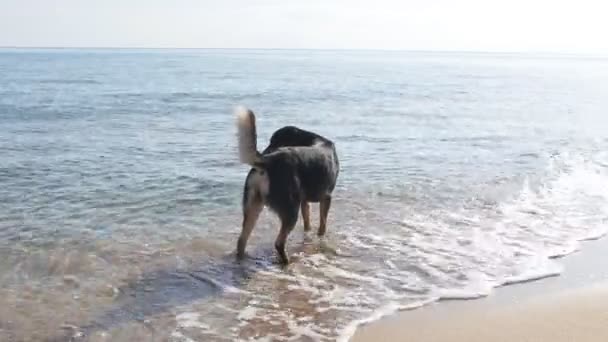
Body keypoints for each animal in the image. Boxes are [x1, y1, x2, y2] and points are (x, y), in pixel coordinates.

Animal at [234, 107, 338, 264]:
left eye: (273, 141)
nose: (266, 150)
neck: (313, 139)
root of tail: (267, 160)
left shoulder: (304, 201)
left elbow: (307, 222)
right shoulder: (326, 198)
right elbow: (322, 226)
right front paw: (321, 238)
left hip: (253, 206)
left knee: (241, 240)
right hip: (290, 209)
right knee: (279, 243)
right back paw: (287, 261)